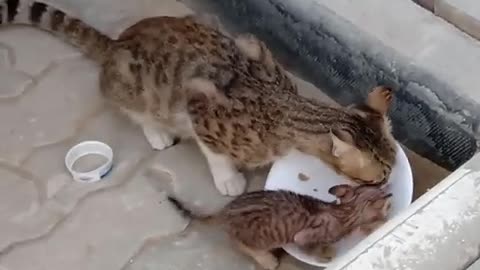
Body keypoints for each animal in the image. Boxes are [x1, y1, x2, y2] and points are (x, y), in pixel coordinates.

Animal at [0, 1, 396, 197]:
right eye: (378, 176)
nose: (388, 184)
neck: (281, 107)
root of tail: (116, 43)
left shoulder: (251, 44)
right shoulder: (198, 103)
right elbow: (214, 153)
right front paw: (228, 178)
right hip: (134, 83)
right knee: (135, 109)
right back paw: (156, 132)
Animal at [168, 185, 390, 268]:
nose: (389, 192)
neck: (344, 211)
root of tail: (225, 210)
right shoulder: (303, 236)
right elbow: (310, 246)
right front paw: (323, 254)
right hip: (252, 238)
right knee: (241, 244)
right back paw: (267, 259)